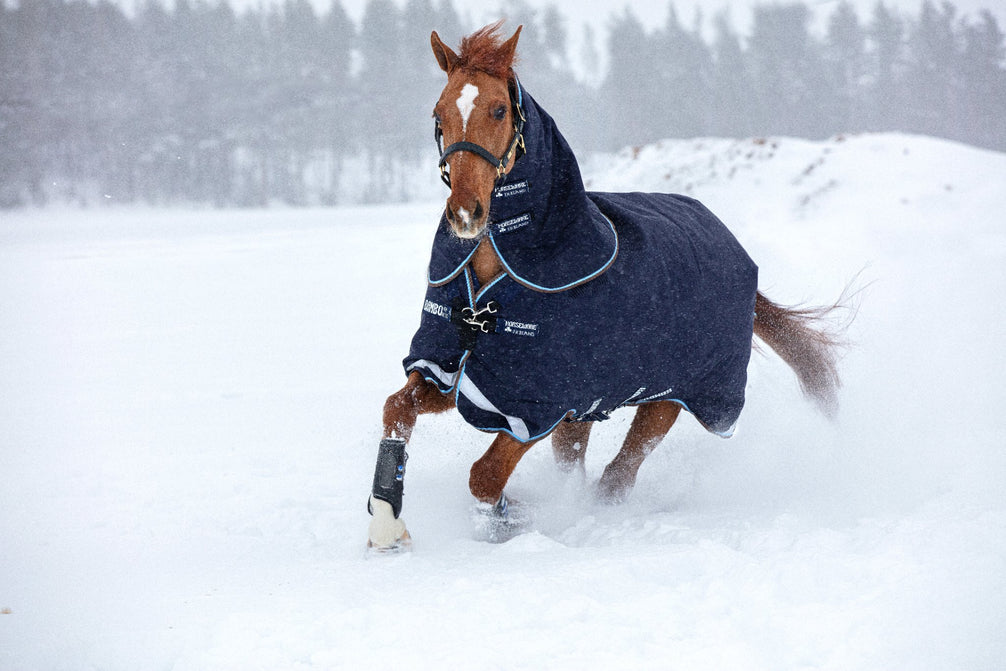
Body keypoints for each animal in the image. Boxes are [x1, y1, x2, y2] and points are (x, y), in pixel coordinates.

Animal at [366, 23, 845, 551]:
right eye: (439, 112)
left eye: (498, 109)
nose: (466, 213)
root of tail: (737, 252)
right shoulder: (457, 372)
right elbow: (397, 408)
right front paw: (386, 523)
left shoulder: (539, 404)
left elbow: (485, 476)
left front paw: (511, 519)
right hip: (589, 413)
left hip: (670, 397)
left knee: (618, 476)